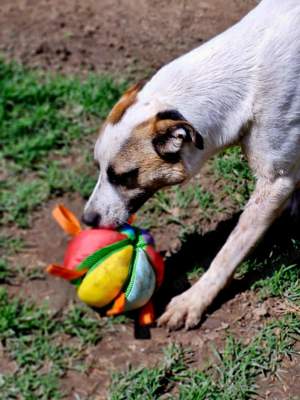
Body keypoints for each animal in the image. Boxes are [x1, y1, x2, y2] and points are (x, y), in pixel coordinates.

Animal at [83, 0, 300, 332]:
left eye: (124, 176)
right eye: (98, 167)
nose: (87, 220)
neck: (245, 78)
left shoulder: (275, 179)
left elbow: (230, 249)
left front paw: (194, 300)